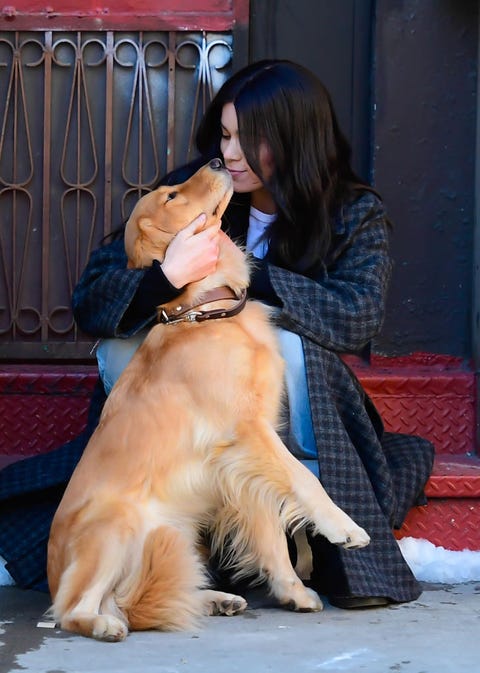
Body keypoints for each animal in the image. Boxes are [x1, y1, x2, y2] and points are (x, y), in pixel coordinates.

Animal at [47, 156, 370, 640]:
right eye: (172, 196)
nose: (218, 160)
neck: (206, 311)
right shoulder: (246, 431)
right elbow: (303, 479)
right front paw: (342, 527)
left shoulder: (243, 460)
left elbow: (270, 527)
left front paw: (292, 589)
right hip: (117, 525)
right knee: (76, 609)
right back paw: (103, 625)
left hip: (175, 537)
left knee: (136, 600)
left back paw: (216, 599)